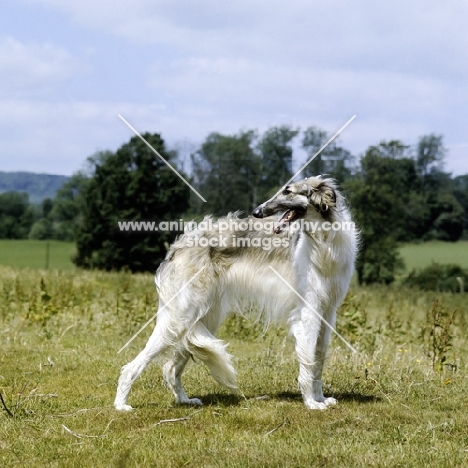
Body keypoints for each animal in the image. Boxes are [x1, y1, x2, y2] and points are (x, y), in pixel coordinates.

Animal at [115, 176, 356, 410]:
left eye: (288, 191)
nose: (257, 212)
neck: (323, 241)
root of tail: (176, 248)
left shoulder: (327, 312)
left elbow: (319, 359)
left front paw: (321, 398)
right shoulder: (308, 313)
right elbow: (308, 362)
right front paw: (312, 403)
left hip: (201, 318)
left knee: (170, 368)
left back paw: (184, 401)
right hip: (180, 318)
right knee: (132, 367)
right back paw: (121, 404)